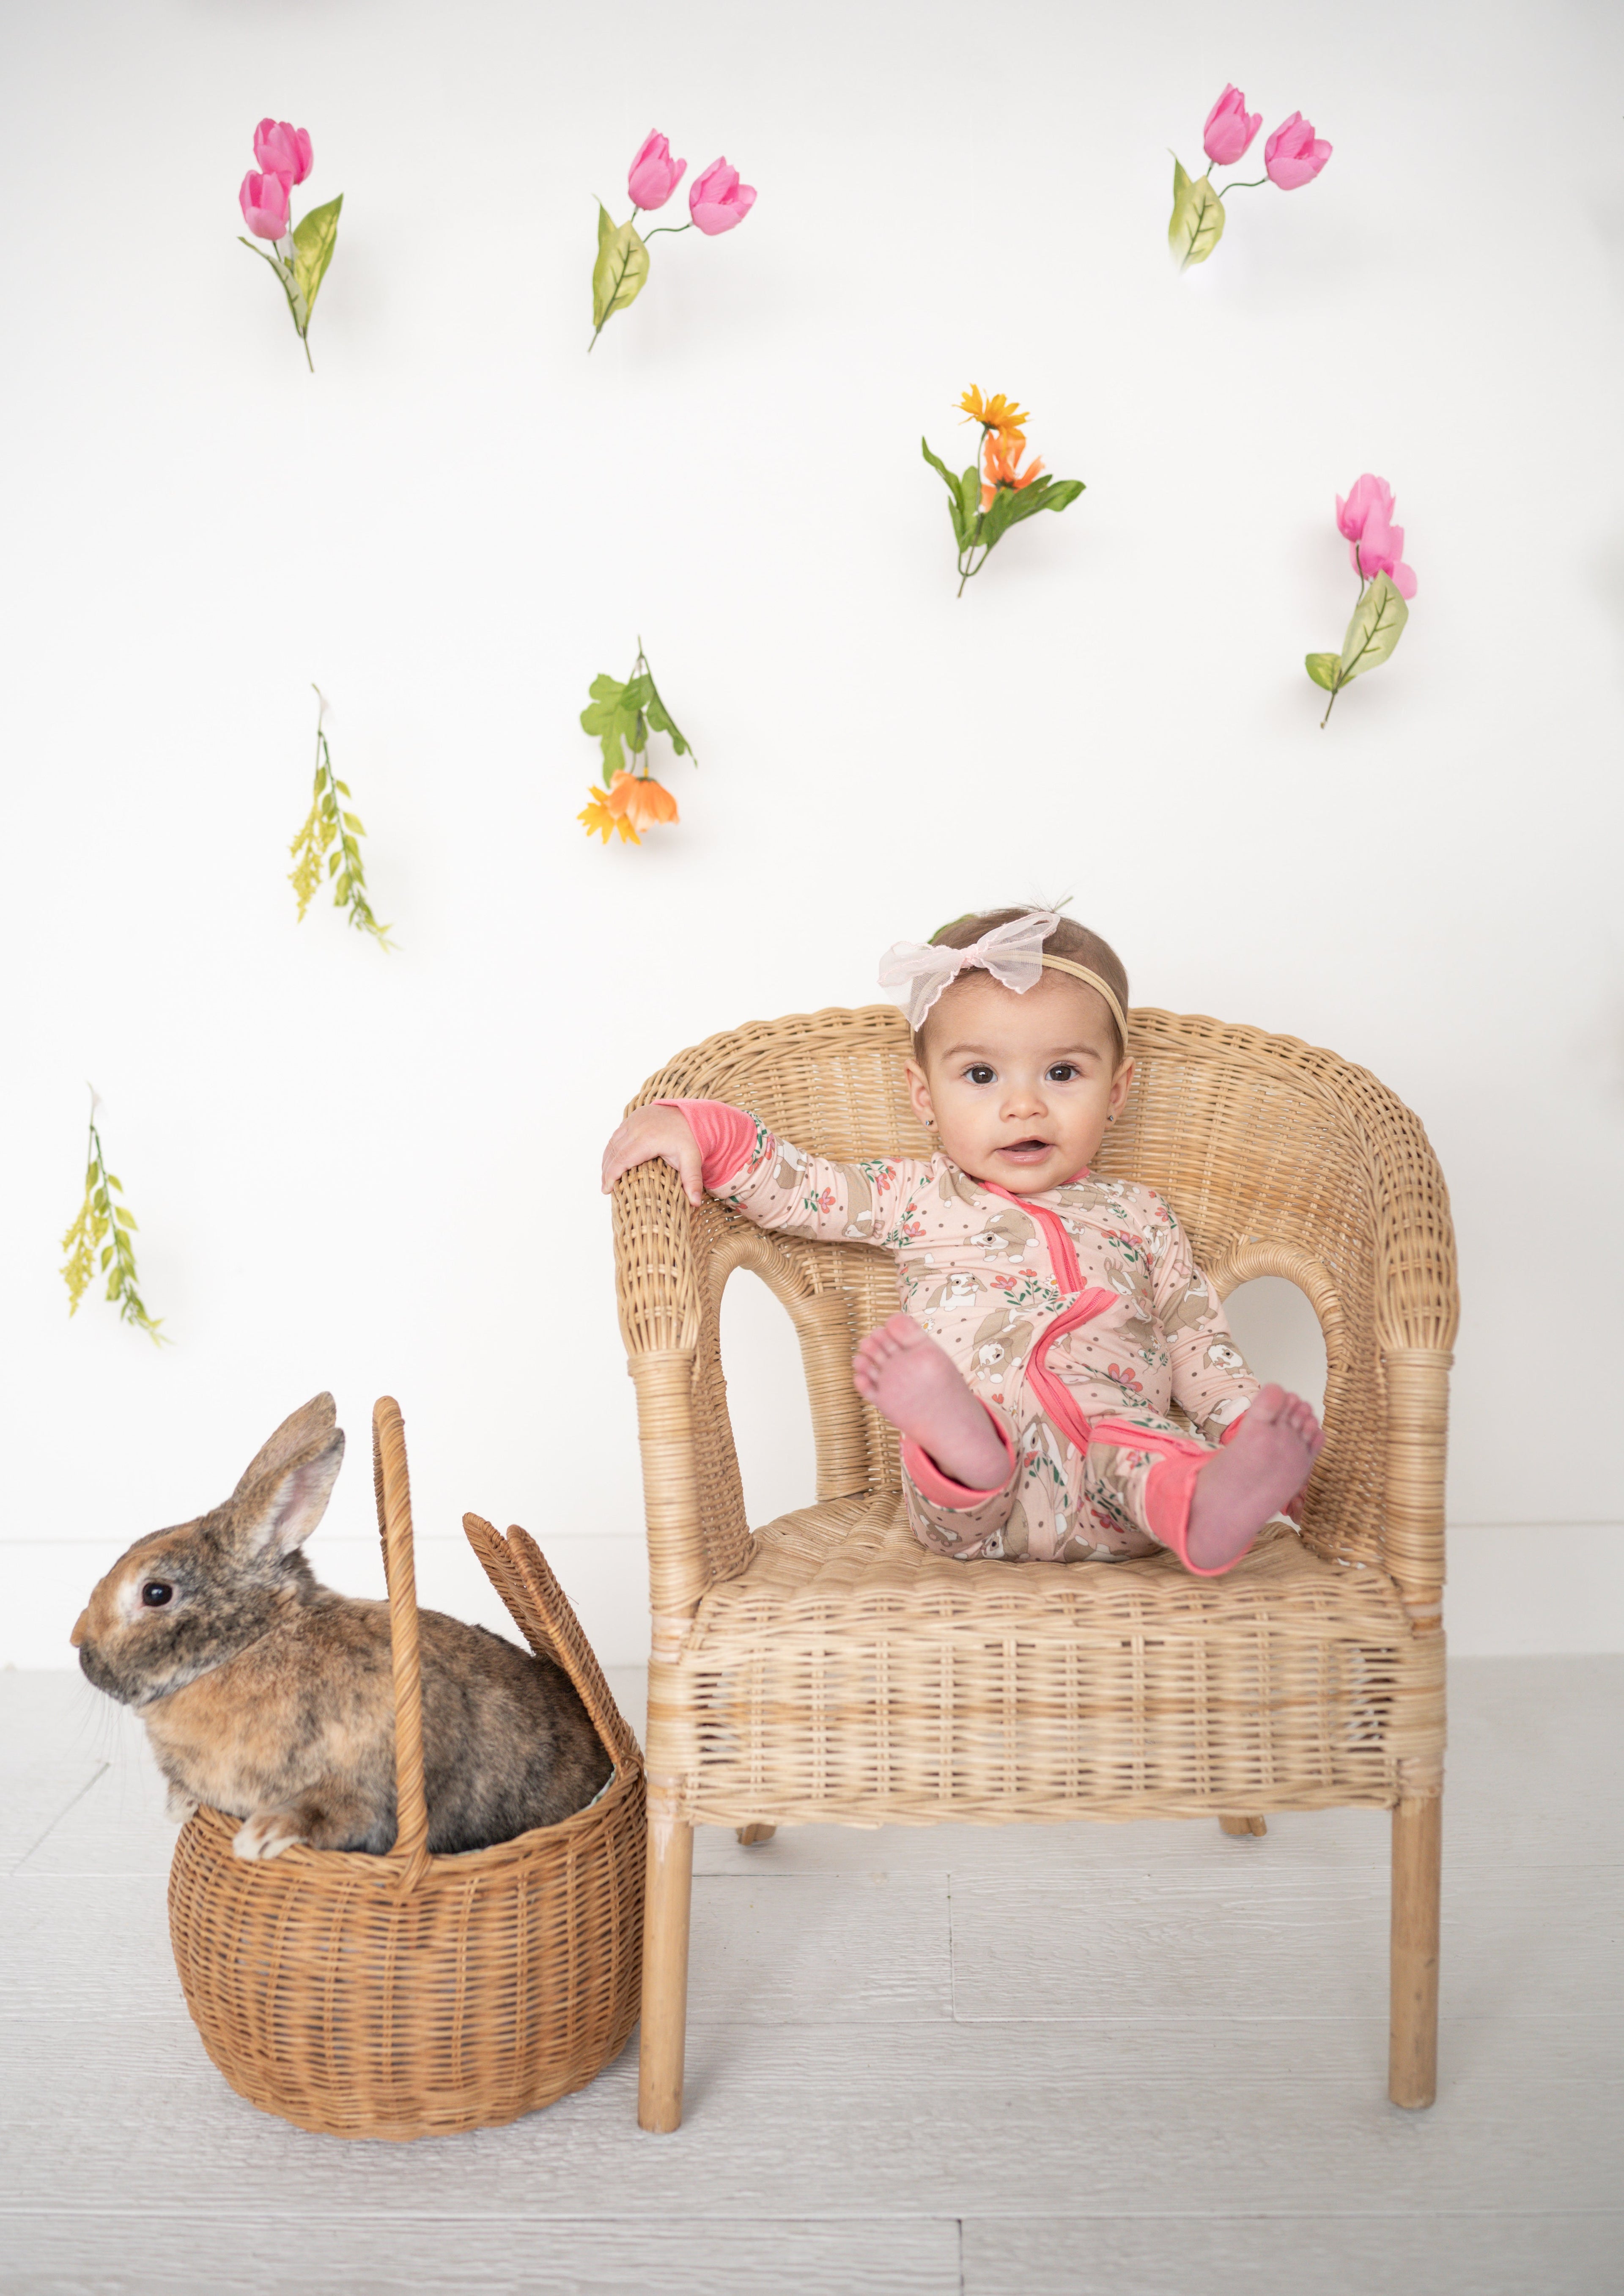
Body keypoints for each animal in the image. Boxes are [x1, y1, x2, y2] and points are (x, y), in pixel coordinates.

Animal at [70, 1393, 612, 1862]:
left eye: (156, 1593)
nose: (77, 1642)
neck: (250, 1646)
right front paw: (180, 1805)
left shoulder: (373, 1781)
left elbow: (337, 1811)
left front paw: (263, 1836)